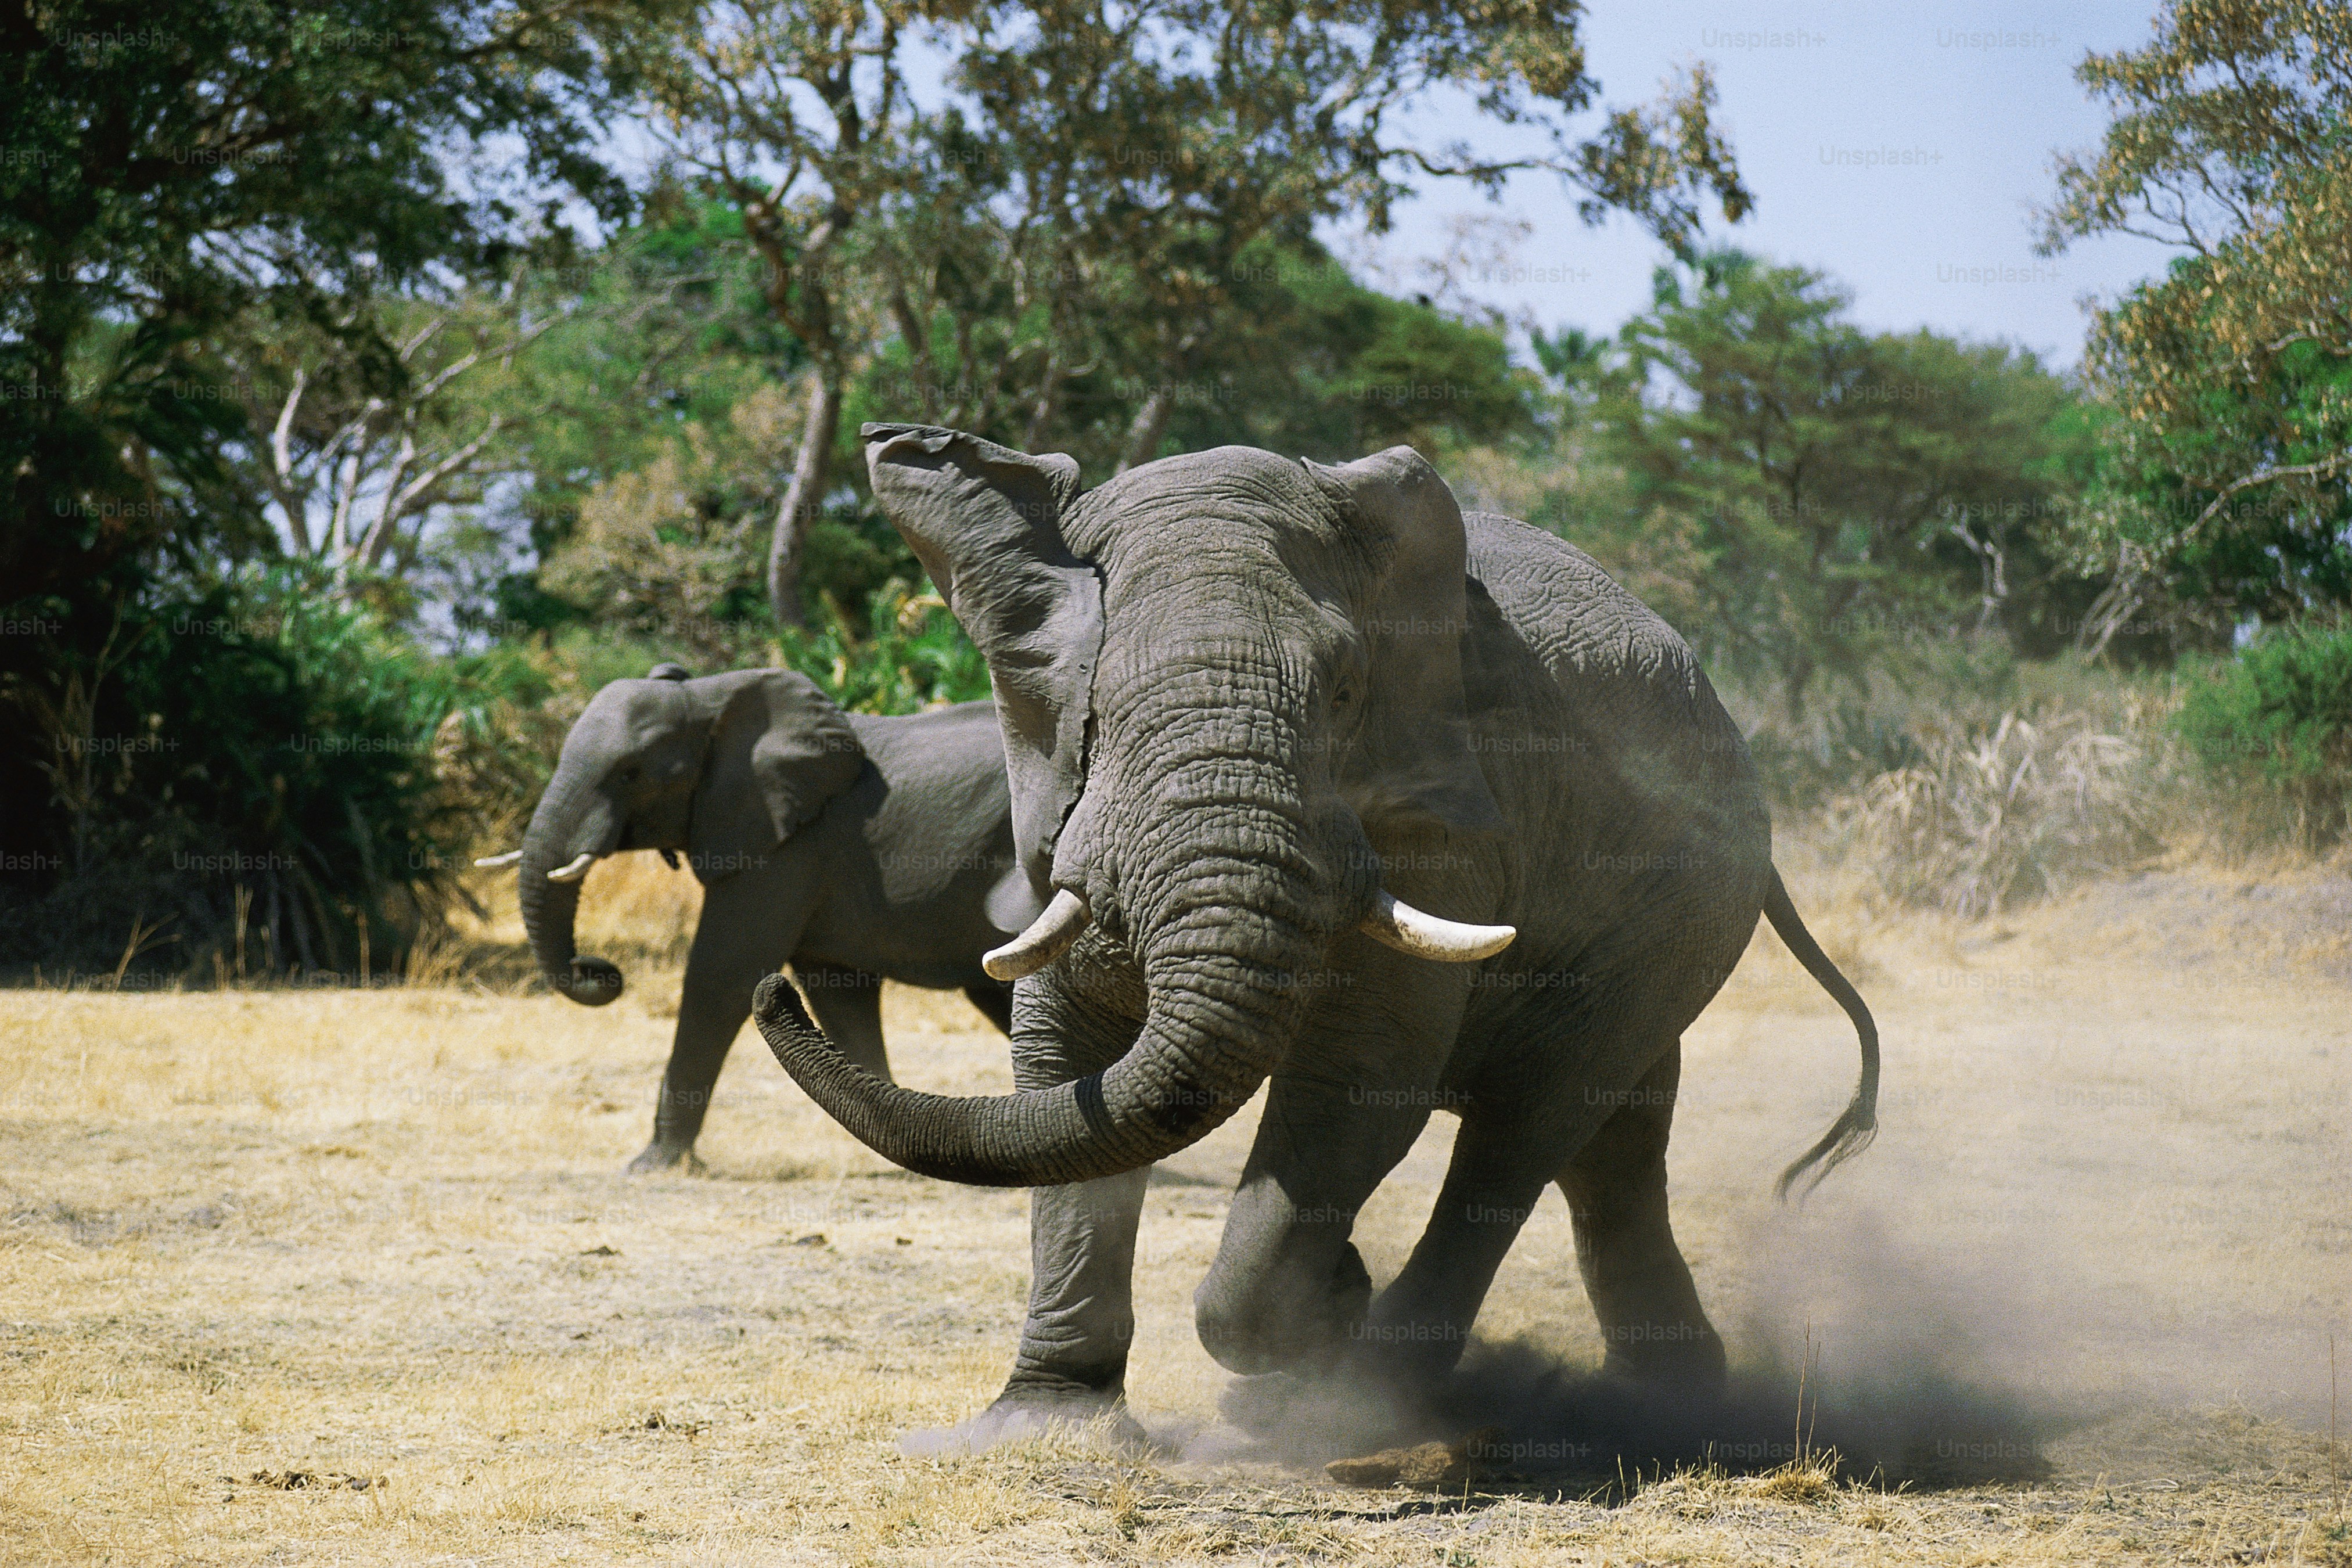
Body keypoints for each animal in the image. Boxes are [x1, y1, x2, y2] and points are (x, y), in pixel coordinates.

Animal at [486, 663, 1021, 1173]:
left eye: (630, 774)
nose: (598, 969)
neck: (710, 698)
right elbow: (839, 998)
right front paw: (903, 1160)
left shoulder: (785, 848)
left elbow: (721, 976)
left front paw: (651, 1167)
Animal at [749, 426, 1879, 1451]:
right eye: (1094, 707)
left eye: (1343, 694)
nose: (775, 993)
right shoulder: (1062, 819)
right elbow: (1064, 1066)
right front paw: (1045, 1431)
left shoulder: (1436, 820)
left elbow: (1359, 1077)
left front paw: (1320, 1322)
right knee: (1612, 1145)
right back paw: (1665, 1405)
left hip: (1683, 914)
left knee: (1526, 1130)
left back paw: (1372, 1407)